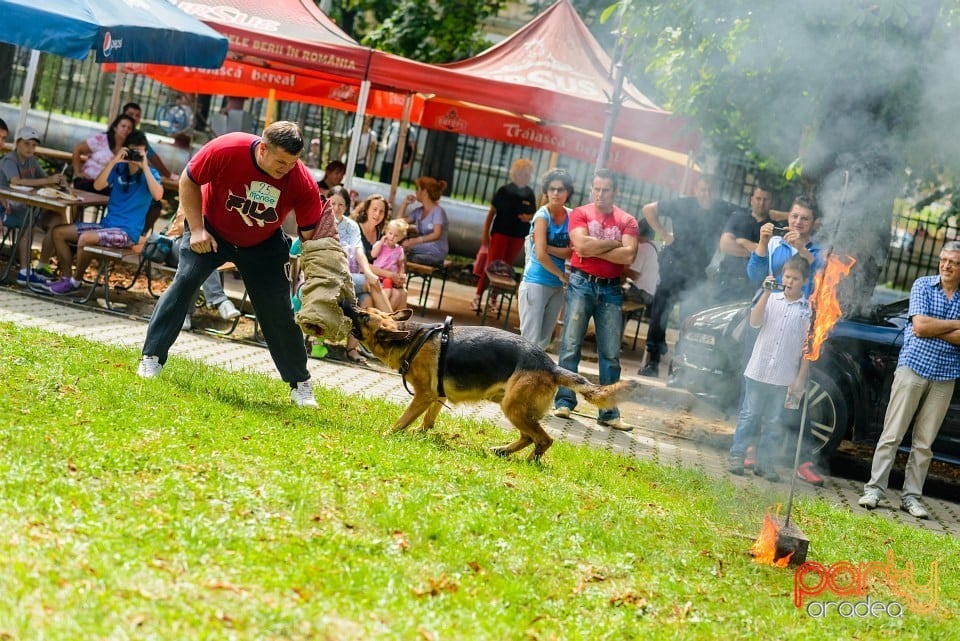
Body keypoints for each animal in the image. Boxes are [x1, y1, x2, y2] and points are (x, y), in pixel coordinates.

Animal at [344, 306, 636, 460]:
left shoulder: (423, 396)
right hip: (513, 407)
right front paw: (421, 434)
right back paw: (503, 450)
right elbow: (428, 421)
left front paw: (387, 435)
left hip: (513, 407)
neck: (412, 340)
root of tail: (551, 366)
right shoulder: (437, 397)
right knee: (529, 437)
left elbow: (401, 420)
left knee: (543, 439)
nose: (350, 304)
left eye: (364, 316)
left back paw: (529, 461)